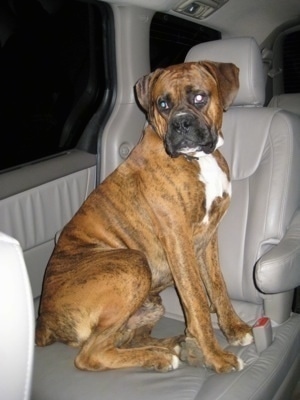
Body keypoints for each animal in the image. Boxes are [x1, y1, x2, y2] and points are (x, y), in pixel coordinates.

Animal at [37, 61, 253, 374]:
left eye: (199, 97)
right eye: (162, 104)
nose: (180, 123)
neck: (199, 160)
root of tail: (44, 322)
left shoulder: (209, 237)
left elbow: (217, 287)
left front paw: (234, 329)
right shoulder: (178, 239)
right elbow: (197, 300)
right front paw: (216, 357)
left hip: (149, 301)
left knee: (126, 340)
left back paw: (177, 346)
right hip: (133, 263)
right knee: (92, 354)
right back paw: (164, 355)